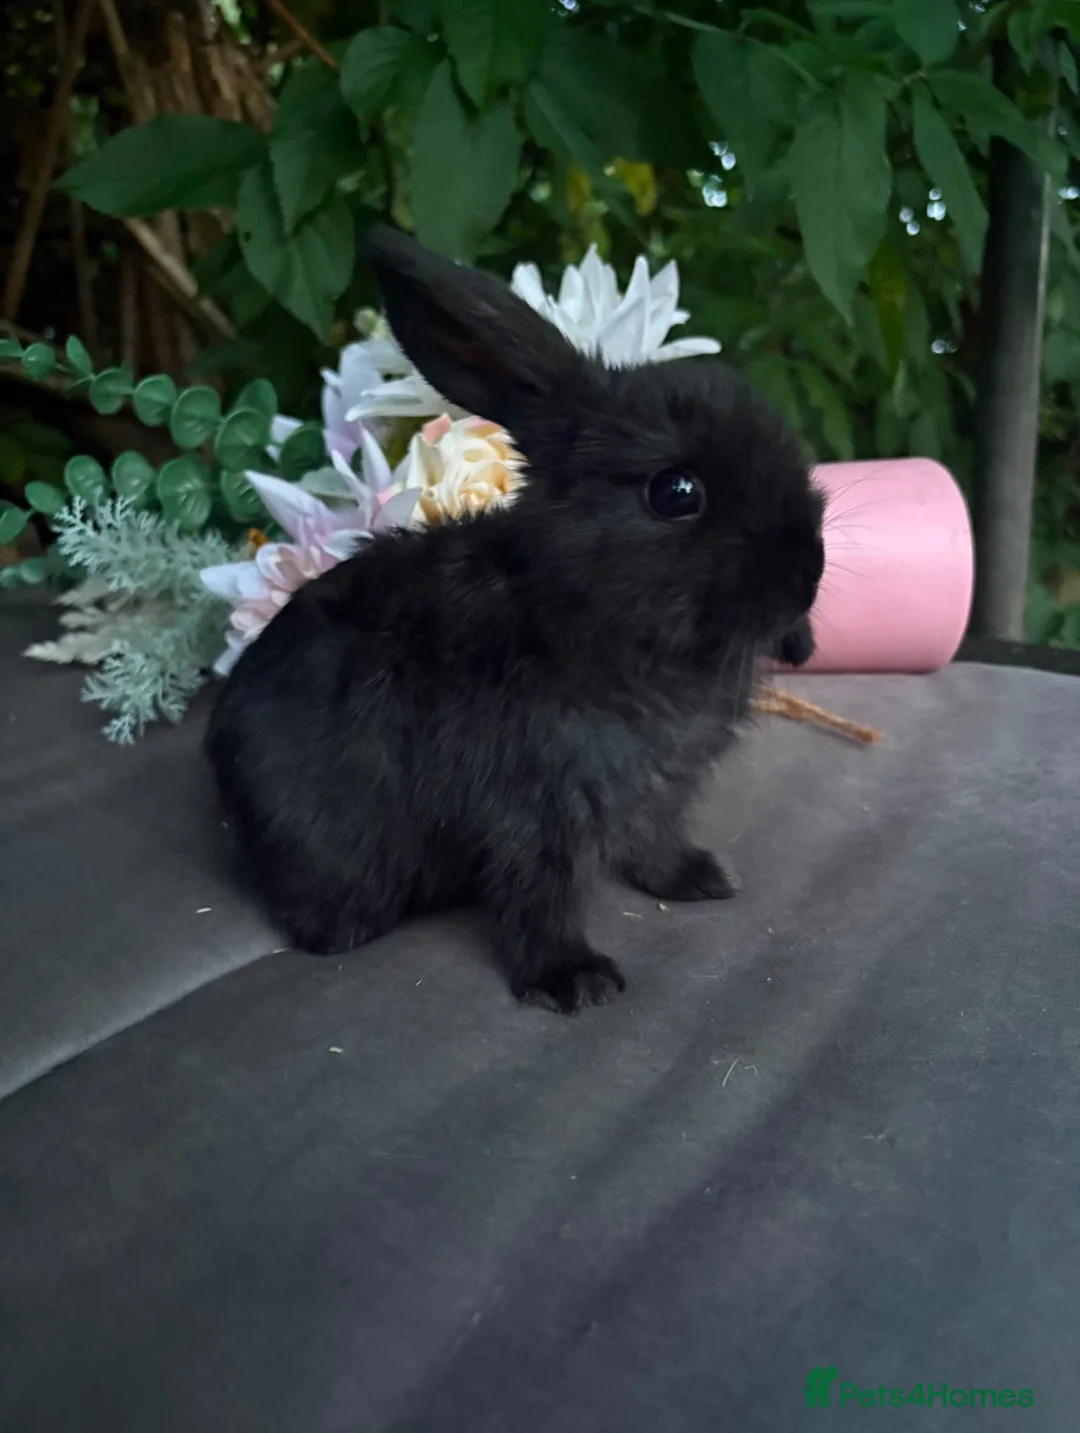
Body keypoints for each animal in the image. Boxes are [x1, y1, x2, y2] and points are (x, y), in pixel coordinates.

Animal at [205, 225, 825, 1014]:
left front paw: (700, 878)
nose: (809, 571)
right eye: (677, 491)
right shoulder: (532, 813)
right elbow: (539, 895)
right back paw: (343, 928)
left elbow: (652, 842)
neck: (585, 609)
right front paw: (573, 979)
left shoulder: (654, 796)